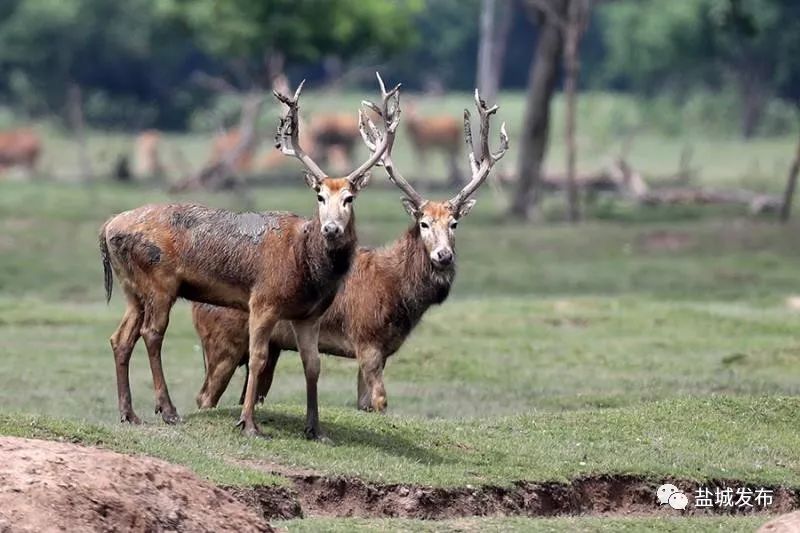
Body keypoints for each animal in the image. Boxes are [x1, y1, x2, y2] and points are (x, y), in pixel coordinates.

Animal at [100, 72, 400, 436]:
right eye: (319, 196)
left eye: (349, 198)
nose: (331, 229)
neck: (308, 267)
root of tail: (107, 228)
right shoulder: (263, 301)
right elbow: (257, 358)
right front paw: (248, 422)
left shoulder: (309, 315)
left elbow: (313, 365)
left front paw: (315, 429)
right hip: (160, 284)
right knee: (152, 334)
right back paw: (167, 410)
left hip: (132, 289)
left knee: (120, 338)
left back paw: (129, 413)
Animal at [193, 87, 506, 412]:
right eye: (424, 223)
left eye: (454, 223)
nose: (443, 256)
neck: (399, 294)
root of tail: (194, 305)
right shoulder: (366, 338)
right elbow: (380, 400)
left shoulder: (379, 350)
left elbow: (364, 403)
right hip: (223, 342)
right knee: (205, 396)